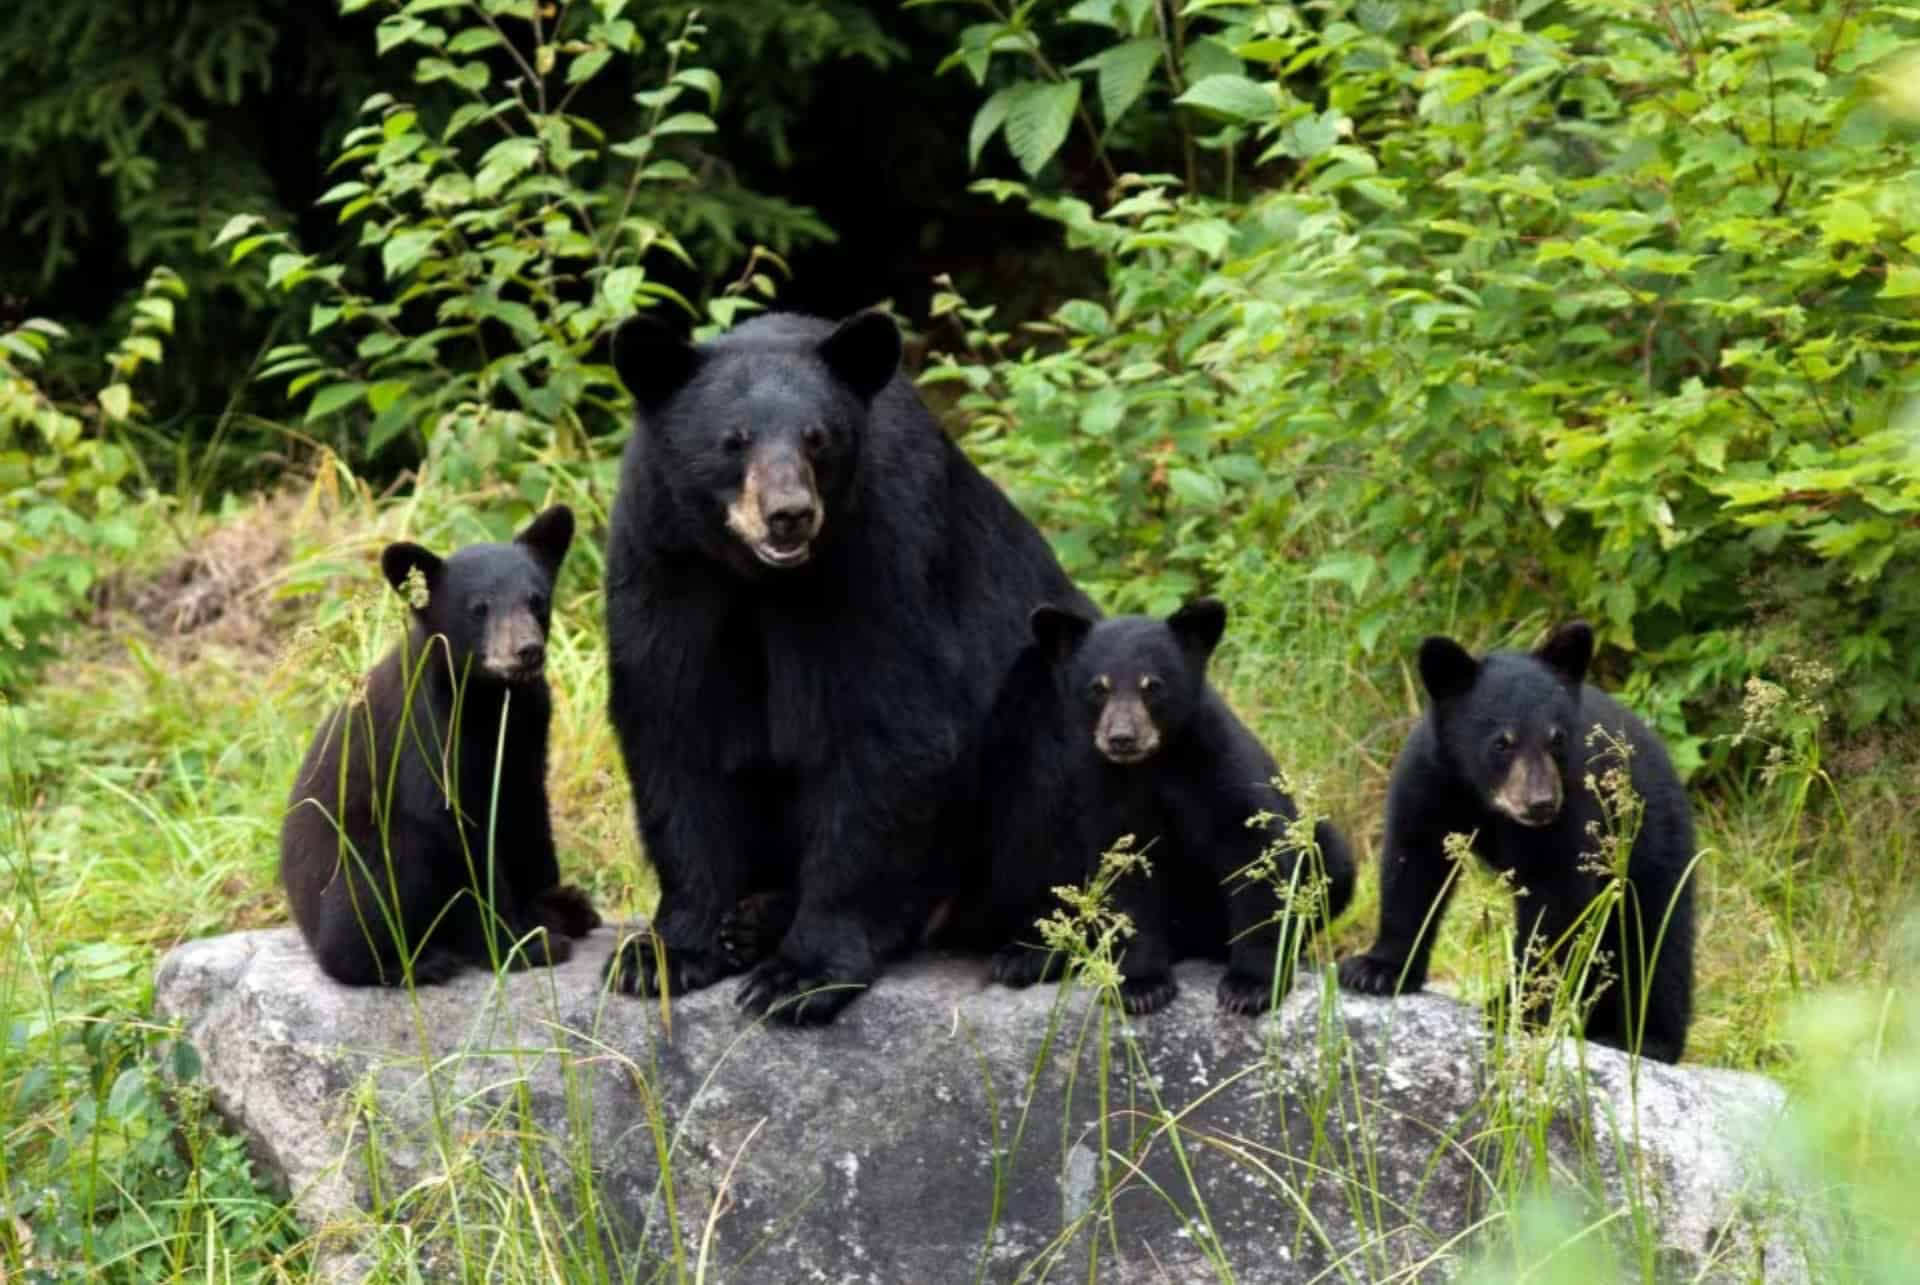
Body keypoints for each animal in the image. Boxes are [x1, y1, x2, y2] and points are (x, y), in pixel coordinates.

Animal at [280, 507, 599, 991]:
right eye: (479, 608)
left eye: (536, 600)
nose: (526, 651)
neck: (488, 698)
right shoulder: (428, 735)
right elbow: (457, 833)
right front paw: (518, 945)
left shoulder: (527, 730)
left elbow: (527, 814)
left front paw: (552, 907)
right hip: (354, 859)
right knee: (376, 889)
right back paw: (412, 963)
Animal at [606, 311, 1090, 1021]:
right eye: (733, 441)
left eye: (817, 438)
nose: (790, 514)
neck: (761, 579)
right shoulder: (665, 560)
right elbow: (673, 734)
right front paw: (662, 953)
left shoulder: (882, 550)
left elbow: (886, 730)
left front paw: (800, 976)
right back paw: (753, 919)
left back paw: (1036, 945)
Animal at [990, 599, 1351, 1014]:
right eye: (1098, 688)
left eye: (1153, 686)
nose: (1122, 738)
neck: (1157, 762)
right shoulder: (1109, 794)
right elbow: (1127, 883)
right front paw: (1142, 986)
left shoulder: (1224, 768)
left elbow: (1257, 861)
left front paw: (1250, 986)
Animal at [1336, 622, 1697, 1060]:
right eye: (1501, 742)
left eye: (1556, 738)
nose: (1540, 802)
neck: (1486, 802)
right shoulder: (1431, 782)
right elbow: (1413, 866)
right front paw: (1376, 969)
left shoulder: (1574, 807)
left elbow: (1555, 901)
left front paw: (1515, 1005)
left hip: (1651, 845)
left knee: (1657, 941)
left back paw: (1644, 1039)